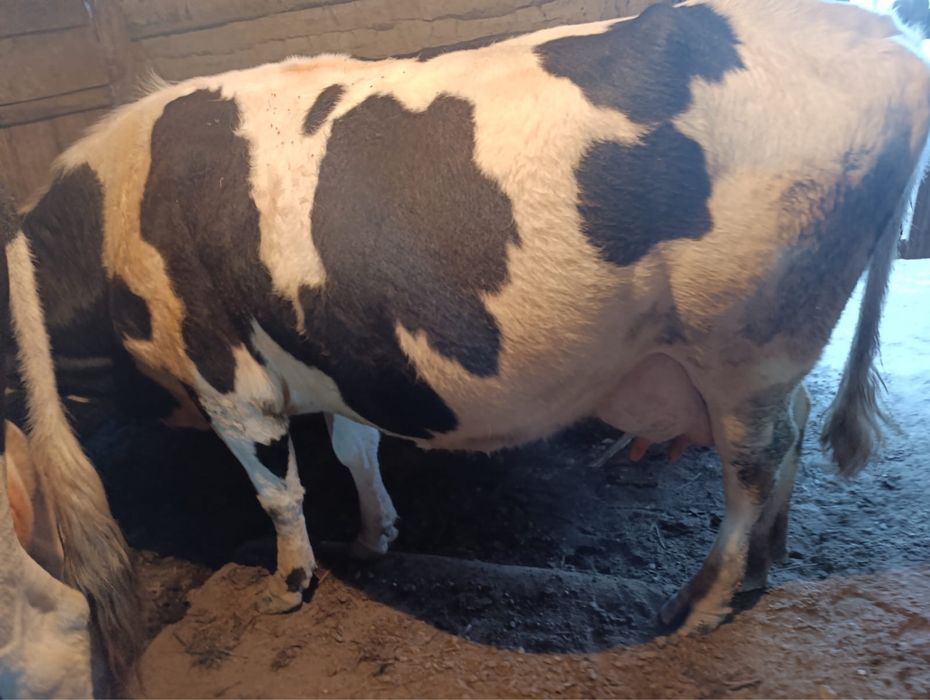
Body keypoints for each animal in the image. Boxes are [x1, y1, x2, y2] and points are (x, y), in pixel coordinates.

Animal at [6, 0, 929, 663]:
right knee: (796, 427)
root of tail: (887, 38)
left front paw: (289, 583)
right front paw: (373, 535)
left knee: (752, 465)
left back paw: (697, 605)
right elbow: (354, 448)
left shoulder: (228, 378)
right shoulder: (334, 348)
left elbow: (277, 490)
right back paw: (768, 562)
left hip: (743, 340)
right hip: (765, 351)